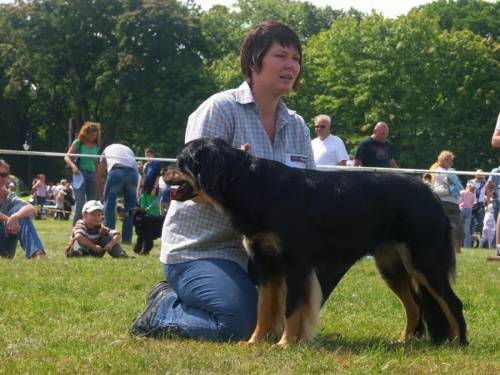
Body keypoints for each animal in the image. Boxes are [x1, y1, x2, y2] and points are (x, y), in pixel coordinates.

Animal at [166, 137, 466, 348]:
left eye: (180, 162)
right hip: (391, 265)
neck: (250, 182)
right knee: (415, 306)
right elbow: (264, 308)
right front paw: (256, 342)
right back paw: (405, 342)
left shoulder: (295, 263)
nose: (164, 173)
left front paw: (285, 343)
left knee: (452, 303)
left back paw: (457, 344)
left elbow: (291, 308)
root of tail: (431, 195)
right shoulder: (268, 263)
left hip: (424, 262)